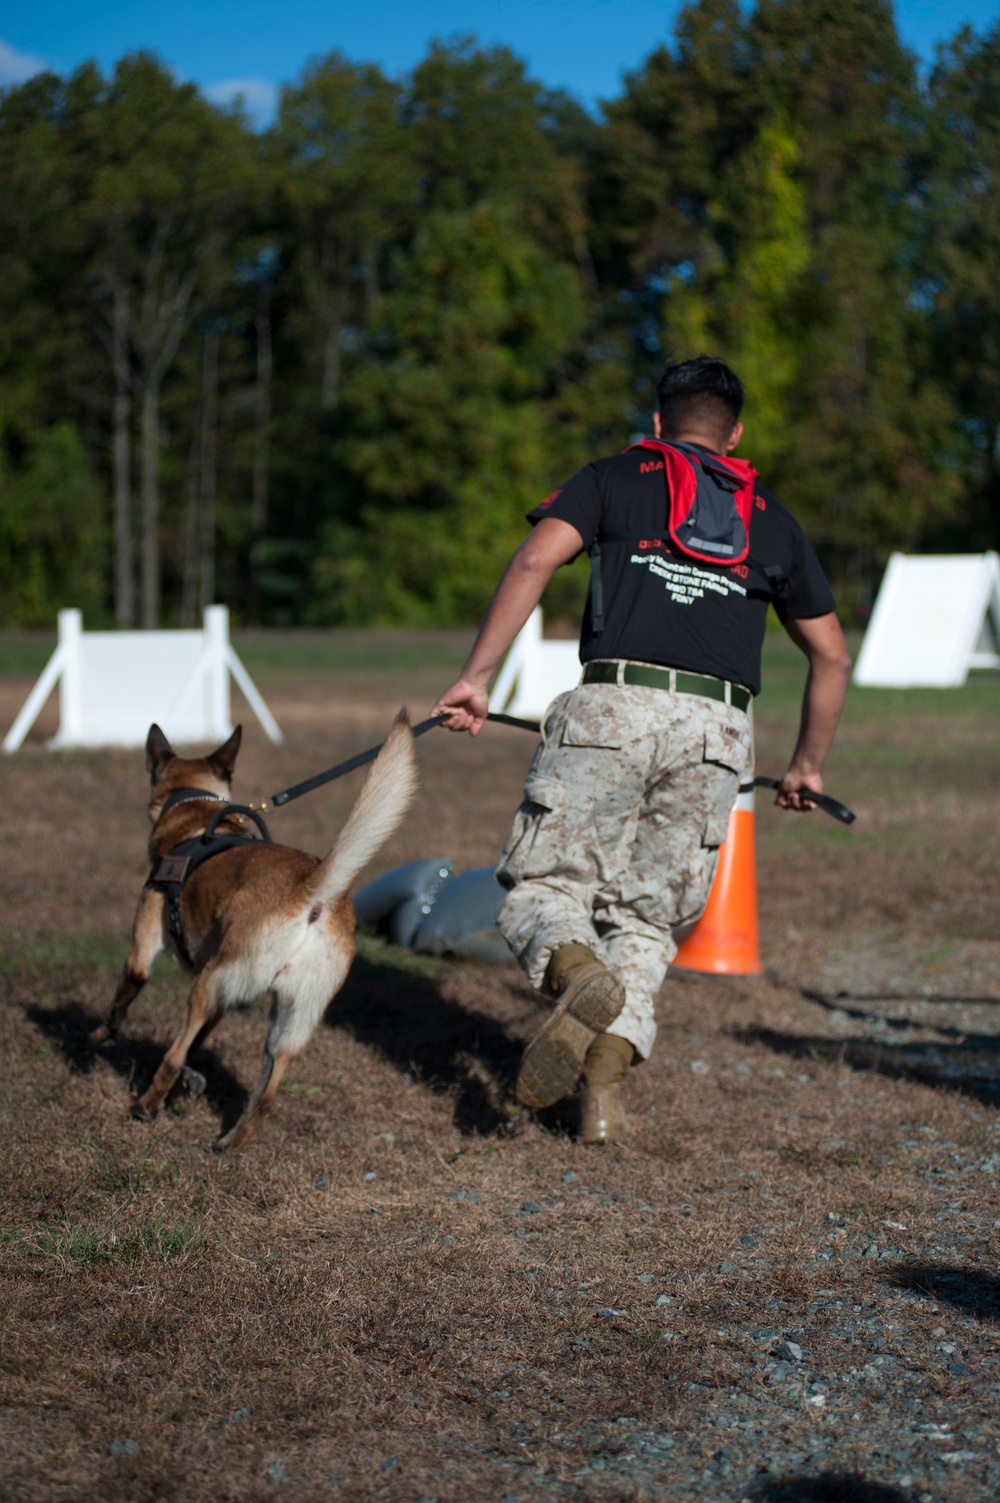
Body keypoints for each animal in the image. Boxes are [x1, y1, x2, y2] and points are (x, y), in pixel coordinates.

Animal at [86, 709, 412, 1142]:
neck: (196, 810)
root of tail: (313, 890)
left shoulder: (143, 957)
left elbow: (122, 1008)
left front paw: (99, 1039)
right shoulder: (227, 1000)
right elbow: (197, 1044)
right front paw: (193, 1080)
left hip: (209, 984)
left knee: (173, 1055)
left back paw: (146, 1106)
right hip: (291, 1017)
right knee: (267, 1093)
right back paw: (229, 1142)